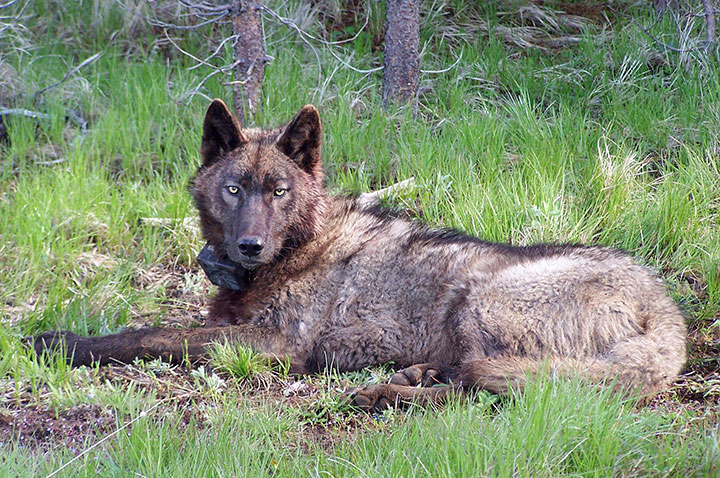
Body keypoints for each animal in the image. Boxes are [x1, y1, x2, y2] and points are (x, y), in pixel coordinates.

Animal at [33, 99, 687, 410]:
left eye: (279, 192)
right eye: (235, 189)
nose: (249, 245)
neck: (299, 247)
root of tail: (665, 306)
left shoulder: (275, 345)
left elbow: (149, 335)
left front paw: (61, 343)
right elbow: (161, 328)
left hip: (476, 298)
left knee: (488, 386)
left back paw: (382, 394)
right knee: (483, 379)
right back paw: (414, 375)